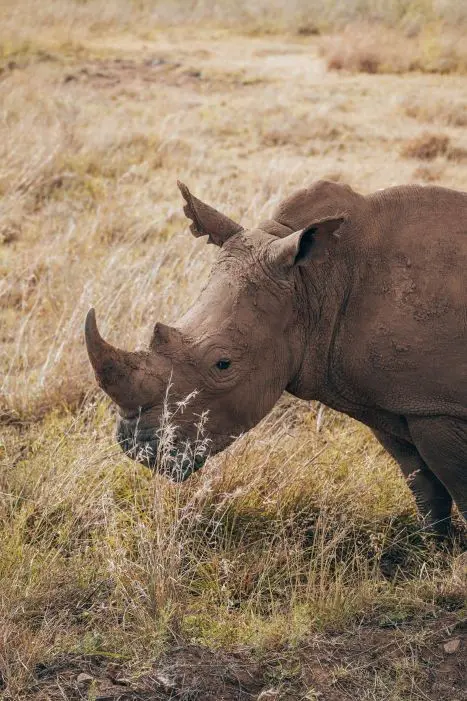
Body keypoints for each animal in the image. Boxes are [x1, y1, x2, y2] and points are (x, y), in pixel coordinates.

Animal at [85, 179, 467, 535]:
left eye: (223, 363)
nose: (136, 447)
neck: (316, 281)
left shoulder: (438, 406)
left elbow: (458, 487)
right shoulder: (397, 400)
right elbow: (422, 483)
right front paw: (435, 546)